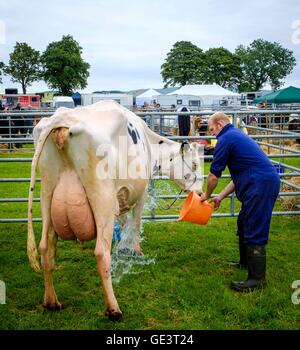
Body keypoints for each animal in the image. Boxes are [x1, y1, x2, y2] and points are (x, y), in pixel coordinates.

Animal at [27, 100, 204, 322]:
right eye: (195, 164)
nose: (200, 193)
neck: (149, 143)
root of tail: (63, 118)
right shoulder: (140, 194)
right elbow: (135, 225)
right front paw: (136, 251)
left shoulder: (120, 197)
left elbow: (123, 223)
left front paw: (123, 248)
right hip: (102, 199)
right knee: (101, 253)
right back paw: (113, 309)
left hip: (47, 197)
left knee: (45, 248)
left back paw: (51, 301)